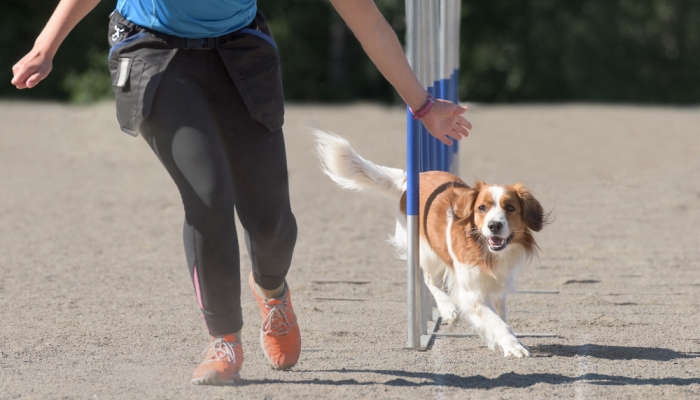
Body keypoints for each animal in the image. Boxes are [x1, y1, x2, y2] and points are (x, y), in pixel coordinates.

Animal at [314, 130, 548, 358]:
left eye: (510, 208)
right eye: (482, 208)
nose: (494, 226)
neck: (486, 251)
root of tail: (411, 180)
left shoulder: (497, 285)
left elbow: (500, 316)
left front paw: (499, 342)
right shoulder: (470, 292)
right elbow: (496, 322)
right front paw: (512, 346)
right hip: (426, 251)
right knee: (428, 280)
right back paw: (447, 308)